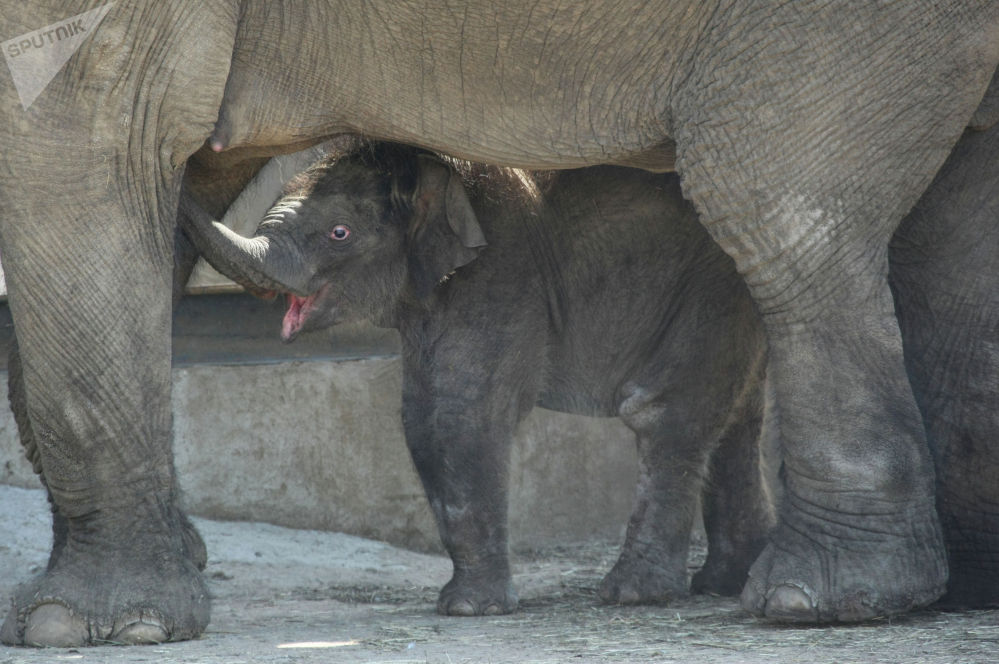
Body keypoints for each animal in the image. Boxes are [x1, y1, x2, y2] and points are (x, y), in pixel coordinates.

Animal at [186, 141, 772, 616]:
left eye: (339, 233)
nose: (188, 170)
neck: (439, 177)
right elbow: (421, 416)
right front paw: (463, 605)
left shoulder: (500, 276)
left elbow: (460, 412)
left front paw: (469, 611)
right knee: (738, 416)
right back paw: (724, 584)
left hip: (712, 283)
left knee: (670, 411)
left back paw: (635, 595)